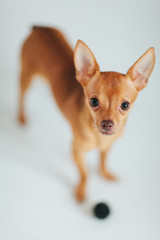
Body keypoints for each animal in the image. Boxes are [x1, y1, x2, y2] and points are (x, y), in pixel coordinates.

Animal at [18, 25, 155, 201]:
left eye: (125, 105)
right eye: (94, 102)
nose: (107, 124)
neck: (99, 138)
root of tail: (39, 28)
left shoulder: (108, 147)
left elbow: (103, 160)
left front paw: (105, 173)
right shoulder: (76, 151)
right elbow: (85, 174)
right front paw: (81, 191)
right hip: (26, 77)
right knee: (21, 95)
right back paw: (21, 117)